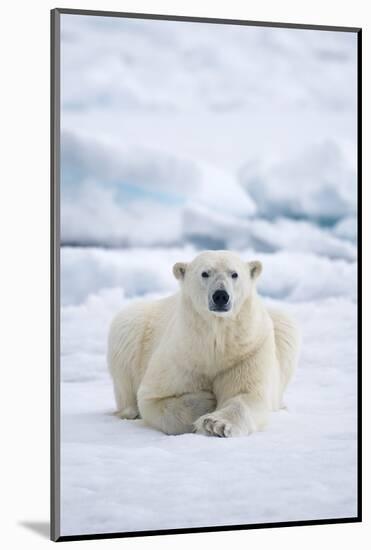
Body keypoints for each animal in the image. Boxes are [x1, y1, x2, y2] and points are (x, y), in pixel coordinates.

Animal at [107, 252, 300, 438]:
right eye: (205, 273)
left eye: (234, 274)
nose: (221, 296)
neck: (215, 340)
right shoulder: (181, 355)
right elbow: (153, 398)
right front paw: (206, 401)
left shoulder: (248, 351)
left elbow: (247, 394)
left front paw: (215, 424)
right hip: (134, 323)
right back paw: (129, 412)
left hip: (280, 326)